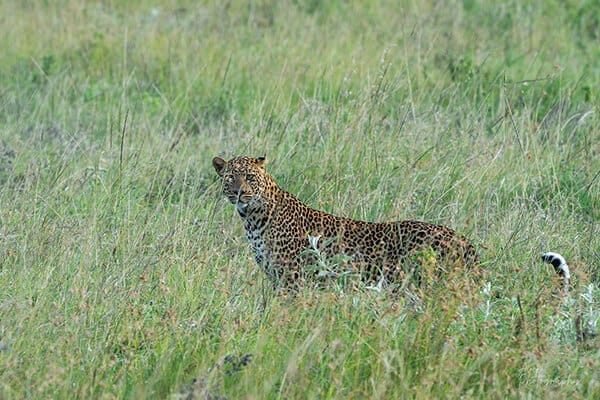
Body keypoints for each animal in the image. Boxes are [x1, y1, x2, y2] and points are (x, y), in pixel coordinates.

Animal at [211, 155, 478, 290]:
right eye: (230, 178)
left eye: (250, 177)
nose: (240, 193)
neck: (253, 219)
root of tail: (464, 241)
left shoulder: (292, 278)